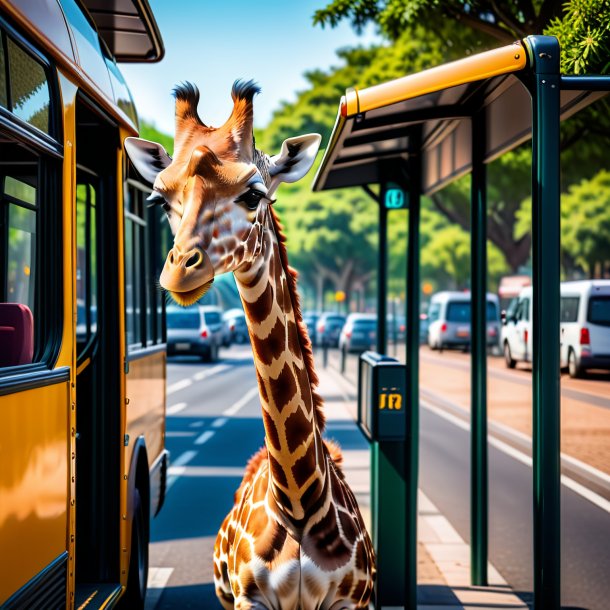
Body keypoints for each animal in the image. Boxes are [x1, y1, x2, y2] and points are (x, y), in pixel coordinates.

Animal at [126, 82, 376, 608]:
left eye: (253, 192)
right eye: (160, 200)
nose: (180, 271)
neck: (299, 502)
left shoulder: (351, 600)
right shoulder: (249, 598)